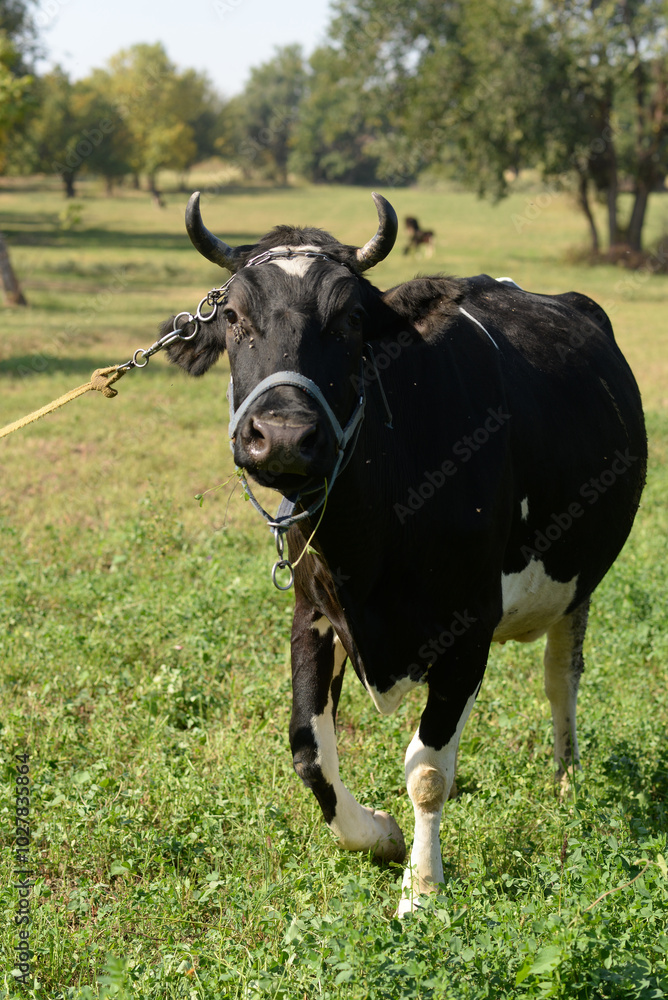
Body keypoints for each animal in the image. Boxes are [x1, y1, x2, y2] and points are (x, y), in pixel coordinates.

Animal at [163, 191, 647, 915]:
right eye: (231, 316)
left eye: (351, 319)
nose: (283, 435)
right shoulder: (313, 611)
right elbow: (308, 750)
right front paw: (379, 836)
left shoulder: (469, 629)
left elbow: (427, 771)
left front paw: (421, 889)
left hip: (577, 582)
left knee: (561, 677)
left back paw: (566, 781)